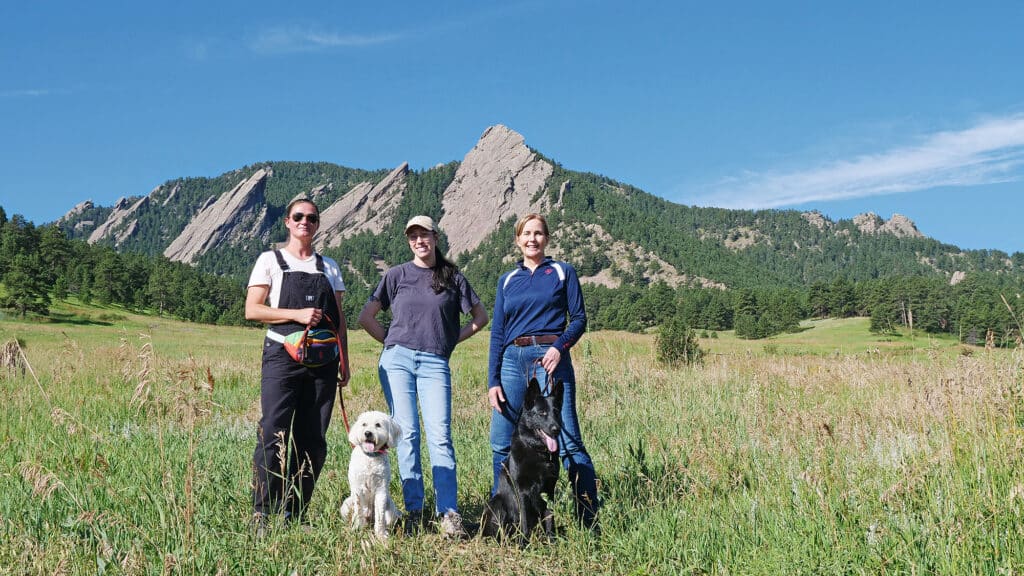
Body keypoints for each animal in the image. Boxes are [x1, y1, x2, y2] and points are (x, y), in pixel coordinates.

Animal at [335, 409, 399, 537]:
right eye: (364, 424)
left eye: (378, 425)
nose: (368, 433)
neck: (370, 457)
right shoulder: (357, 488)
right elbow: (358, 509)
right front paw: (357, 528)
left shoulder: (381, 489)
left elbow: (380, 516)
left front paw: (381, 536)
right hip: (346, 506)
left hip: (392, 512)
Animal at [481, 377, 565, 541]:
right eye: (542, 413)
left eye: (556, 412)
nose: (556, 429)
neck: (537, 452)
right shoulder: (522, 492)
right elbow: (524, 521)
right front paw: (523, 543)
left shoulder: (548, 491)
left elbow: (550, 517)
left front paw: (551, 541)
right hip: (497, 503)